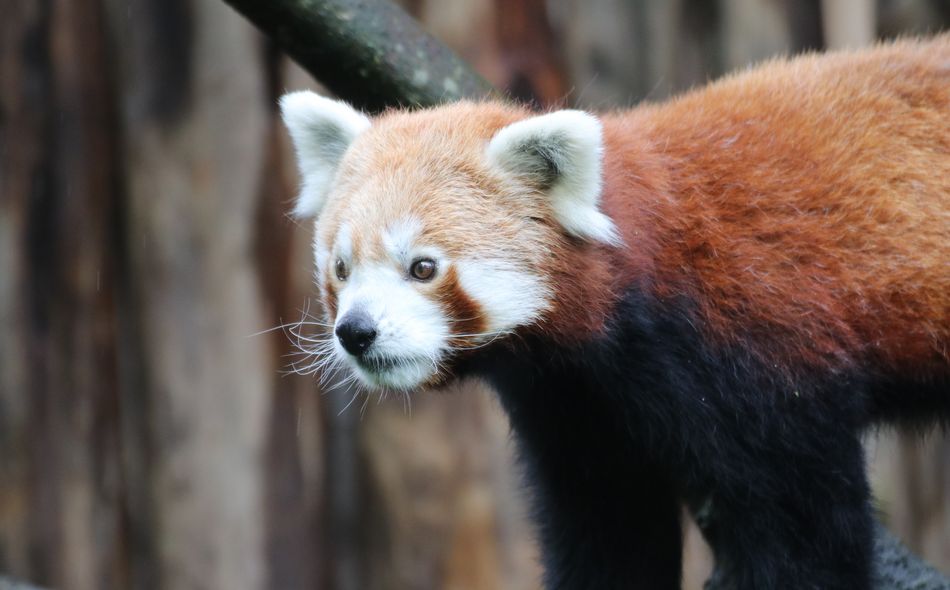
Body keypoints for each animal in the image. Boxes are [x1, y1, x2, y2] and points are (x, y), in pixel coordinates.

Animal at [280, 35, 949, 589]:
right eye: (342, 269)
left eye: (422, 267)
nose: (356, 332)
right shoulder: (577, 405)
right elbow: (607, 526)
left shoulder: (764, 348)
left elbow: (804, 530)